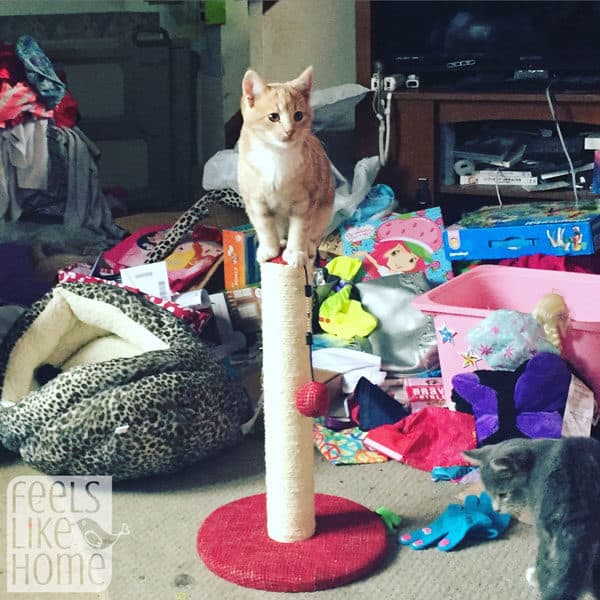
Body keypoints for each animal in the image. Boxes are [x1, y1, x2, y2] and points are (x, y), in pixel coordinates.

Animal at [237, 65, 336, 268]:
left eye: (298, 115)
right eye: (273, 117)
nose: (289, 131)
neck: (276, 155)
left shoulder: (306, 202)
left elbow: (300, 229)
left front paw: (296, 252)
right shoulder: (255, 201)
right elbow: (264, 225)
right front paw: (270, 248)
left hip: (325, 208)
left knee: (315, 234)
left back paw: (308, 247)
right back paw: (281, 241)